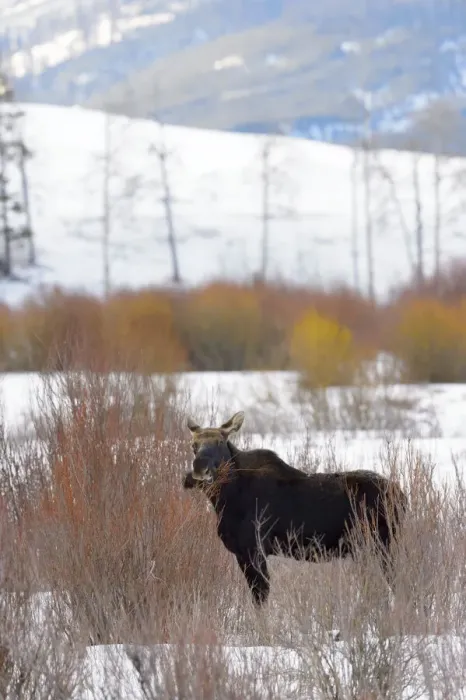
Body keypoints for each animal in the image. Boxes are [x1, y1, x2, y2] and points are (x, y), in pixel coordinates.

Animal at [182, 411, 407, 607]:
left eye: (220, 442)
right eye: (193, 445)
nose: (200, 468)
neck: (225, 498)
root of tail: (403, 497)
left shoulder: (253, 549)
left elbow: (260, 598)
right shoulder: (244, 553)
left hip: (382, 544)